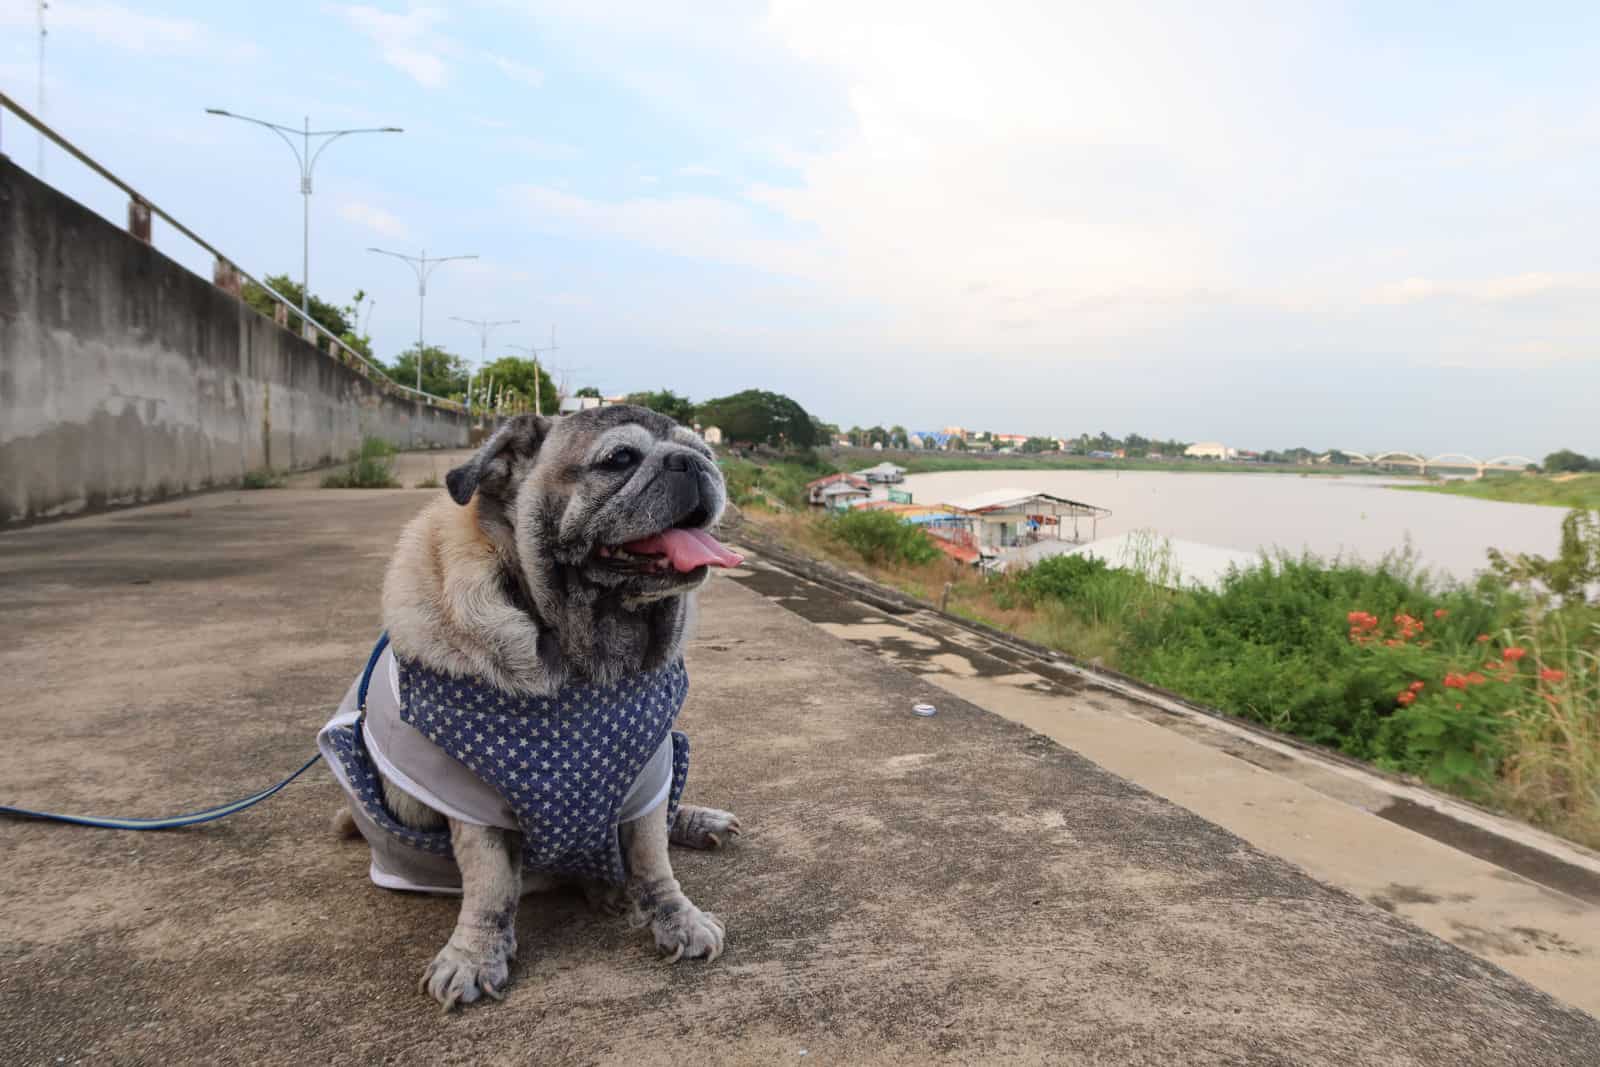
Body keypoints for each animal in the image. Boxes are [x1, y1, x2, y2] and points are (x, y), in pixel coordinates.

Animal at [324, 406, 755, 1011]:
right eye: (619, 459)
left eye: (707, 453)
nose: (692, 462)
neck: (583, 657)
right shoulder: (469, 798)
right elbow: (489, 885)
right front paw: (474, 955)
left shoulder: (648, 769)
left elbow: (653, 858)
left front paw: (677, 918)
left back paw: (688, 827)